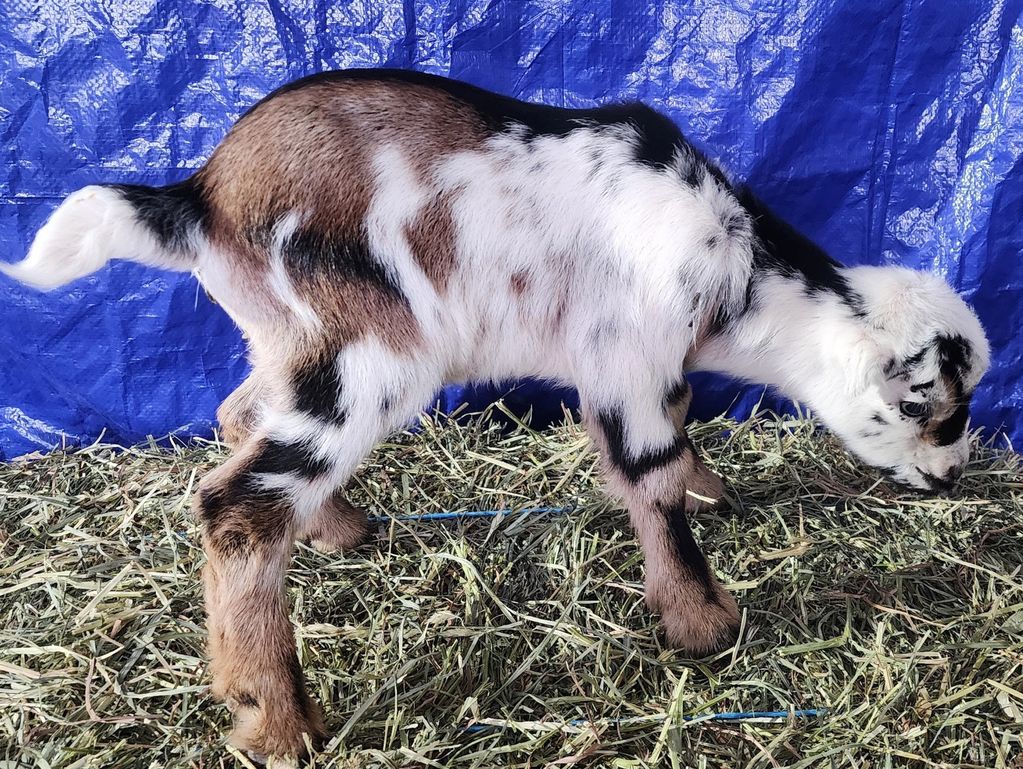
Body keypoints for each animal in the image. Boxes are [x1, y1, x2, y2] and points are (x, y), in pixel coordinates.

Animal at [3, 69, 990, 761]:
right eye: (932, 407)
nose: (951, 476)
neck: (737, 271)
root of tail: (203, 193)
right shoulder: (627, 356)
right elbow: (650, 474)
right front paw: (703, 622)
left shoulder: (640, 366)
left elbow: (675, 434)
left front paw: (713, 492)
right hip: (370, 353)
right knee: (239, 501)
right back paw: (278, 721)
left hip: (287, 339)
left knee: (239, 413)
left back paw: (338, 530)